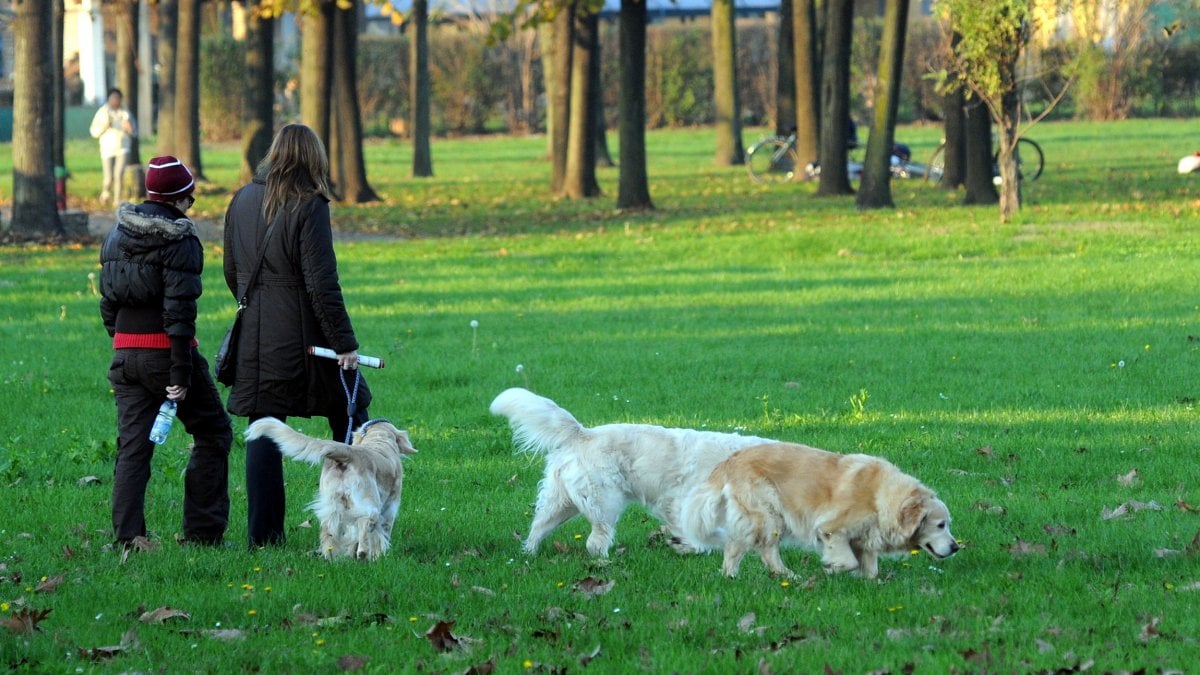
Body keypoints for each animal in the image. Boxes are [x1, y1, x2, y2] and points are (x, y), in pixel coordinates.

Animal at [243, 415, 417, 557]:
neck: (379, 441)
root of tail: (347, 453)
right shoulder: (390, 506)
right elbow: (382, 534)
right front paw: (380, 555)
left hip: (331, 508)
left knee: (329, 538)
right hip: (370, 505)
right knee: (365, 527)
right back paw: (362, 555)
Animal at [489, 386, 777, 554]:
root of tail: (582, 433)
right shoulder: (678, 499)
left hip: (560, 503)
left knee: (537, 528)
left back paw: (529, 555)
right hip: (605, 502)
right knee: (595, 541)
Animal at [681, 441, 960, 578]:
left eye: (947, 524)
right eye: (940, 525)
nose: (956, 547)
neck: (880, 497)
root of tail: (731, 459)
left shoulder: (865, 539)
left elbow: (871, 569)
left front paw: (870, 581)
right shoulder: (831, 529)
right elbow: (847, 561)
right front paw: (831, 568)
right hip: (768, 515)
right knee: (744, 548)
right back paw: (736, 576)